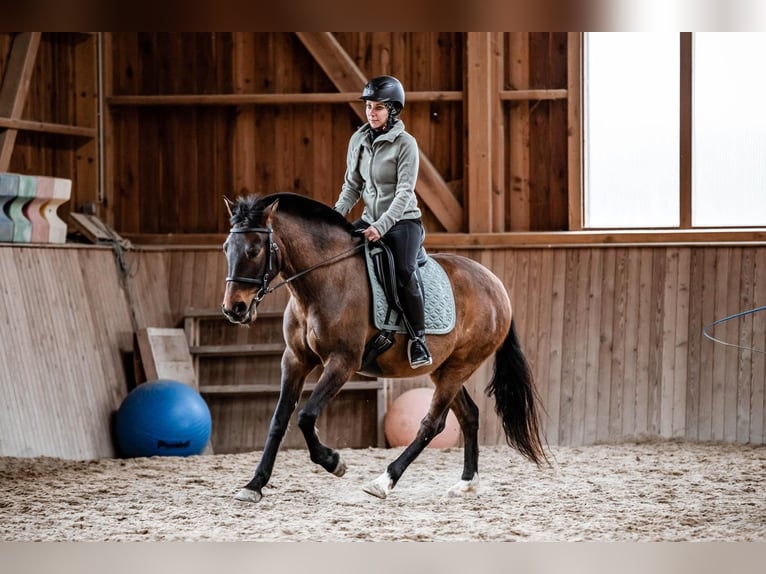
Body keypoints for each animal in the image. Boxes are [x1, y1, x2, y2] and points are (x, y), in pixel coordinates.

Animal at [219, 192, 548, 504]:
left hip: (459, 367)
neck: (323, 281)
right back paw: (466, 483)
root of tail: (495, 285)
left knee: (432, 424)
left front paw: (333, 462)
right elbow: (279, 420)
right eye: (225, 248)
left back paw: (384, 481)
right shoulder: (295, 359)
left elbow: (306, 415)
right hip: (445, 369)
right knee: (469, 415)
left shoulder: (342, 362)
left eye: (254, 250)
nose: (234, 309)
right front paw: (254, 485)